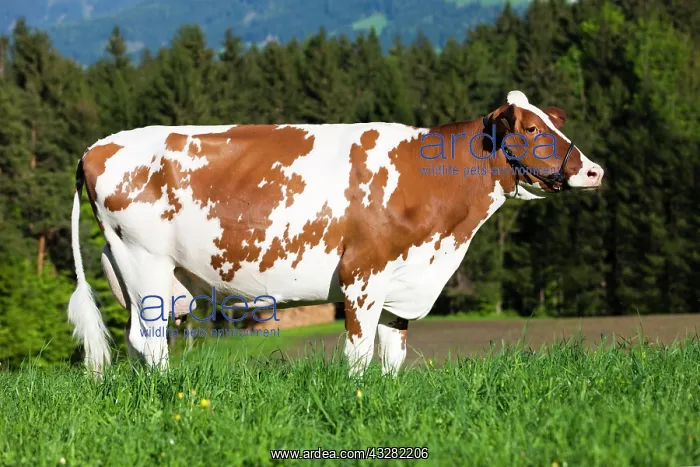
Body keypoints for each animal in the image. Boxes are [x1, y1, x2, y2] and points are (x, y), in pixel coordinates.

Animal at [67, 90, 604, 376]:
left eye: (553, 123)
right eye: (530, 130)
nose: (593, 170)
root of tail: (96, 147)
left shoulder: (403, 285)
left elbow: (392, 358)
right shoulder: (362, 276)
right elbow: (359, 355)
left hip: (153, 276)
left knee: (141, 340)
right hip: (144, 263)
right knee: (150, 340)